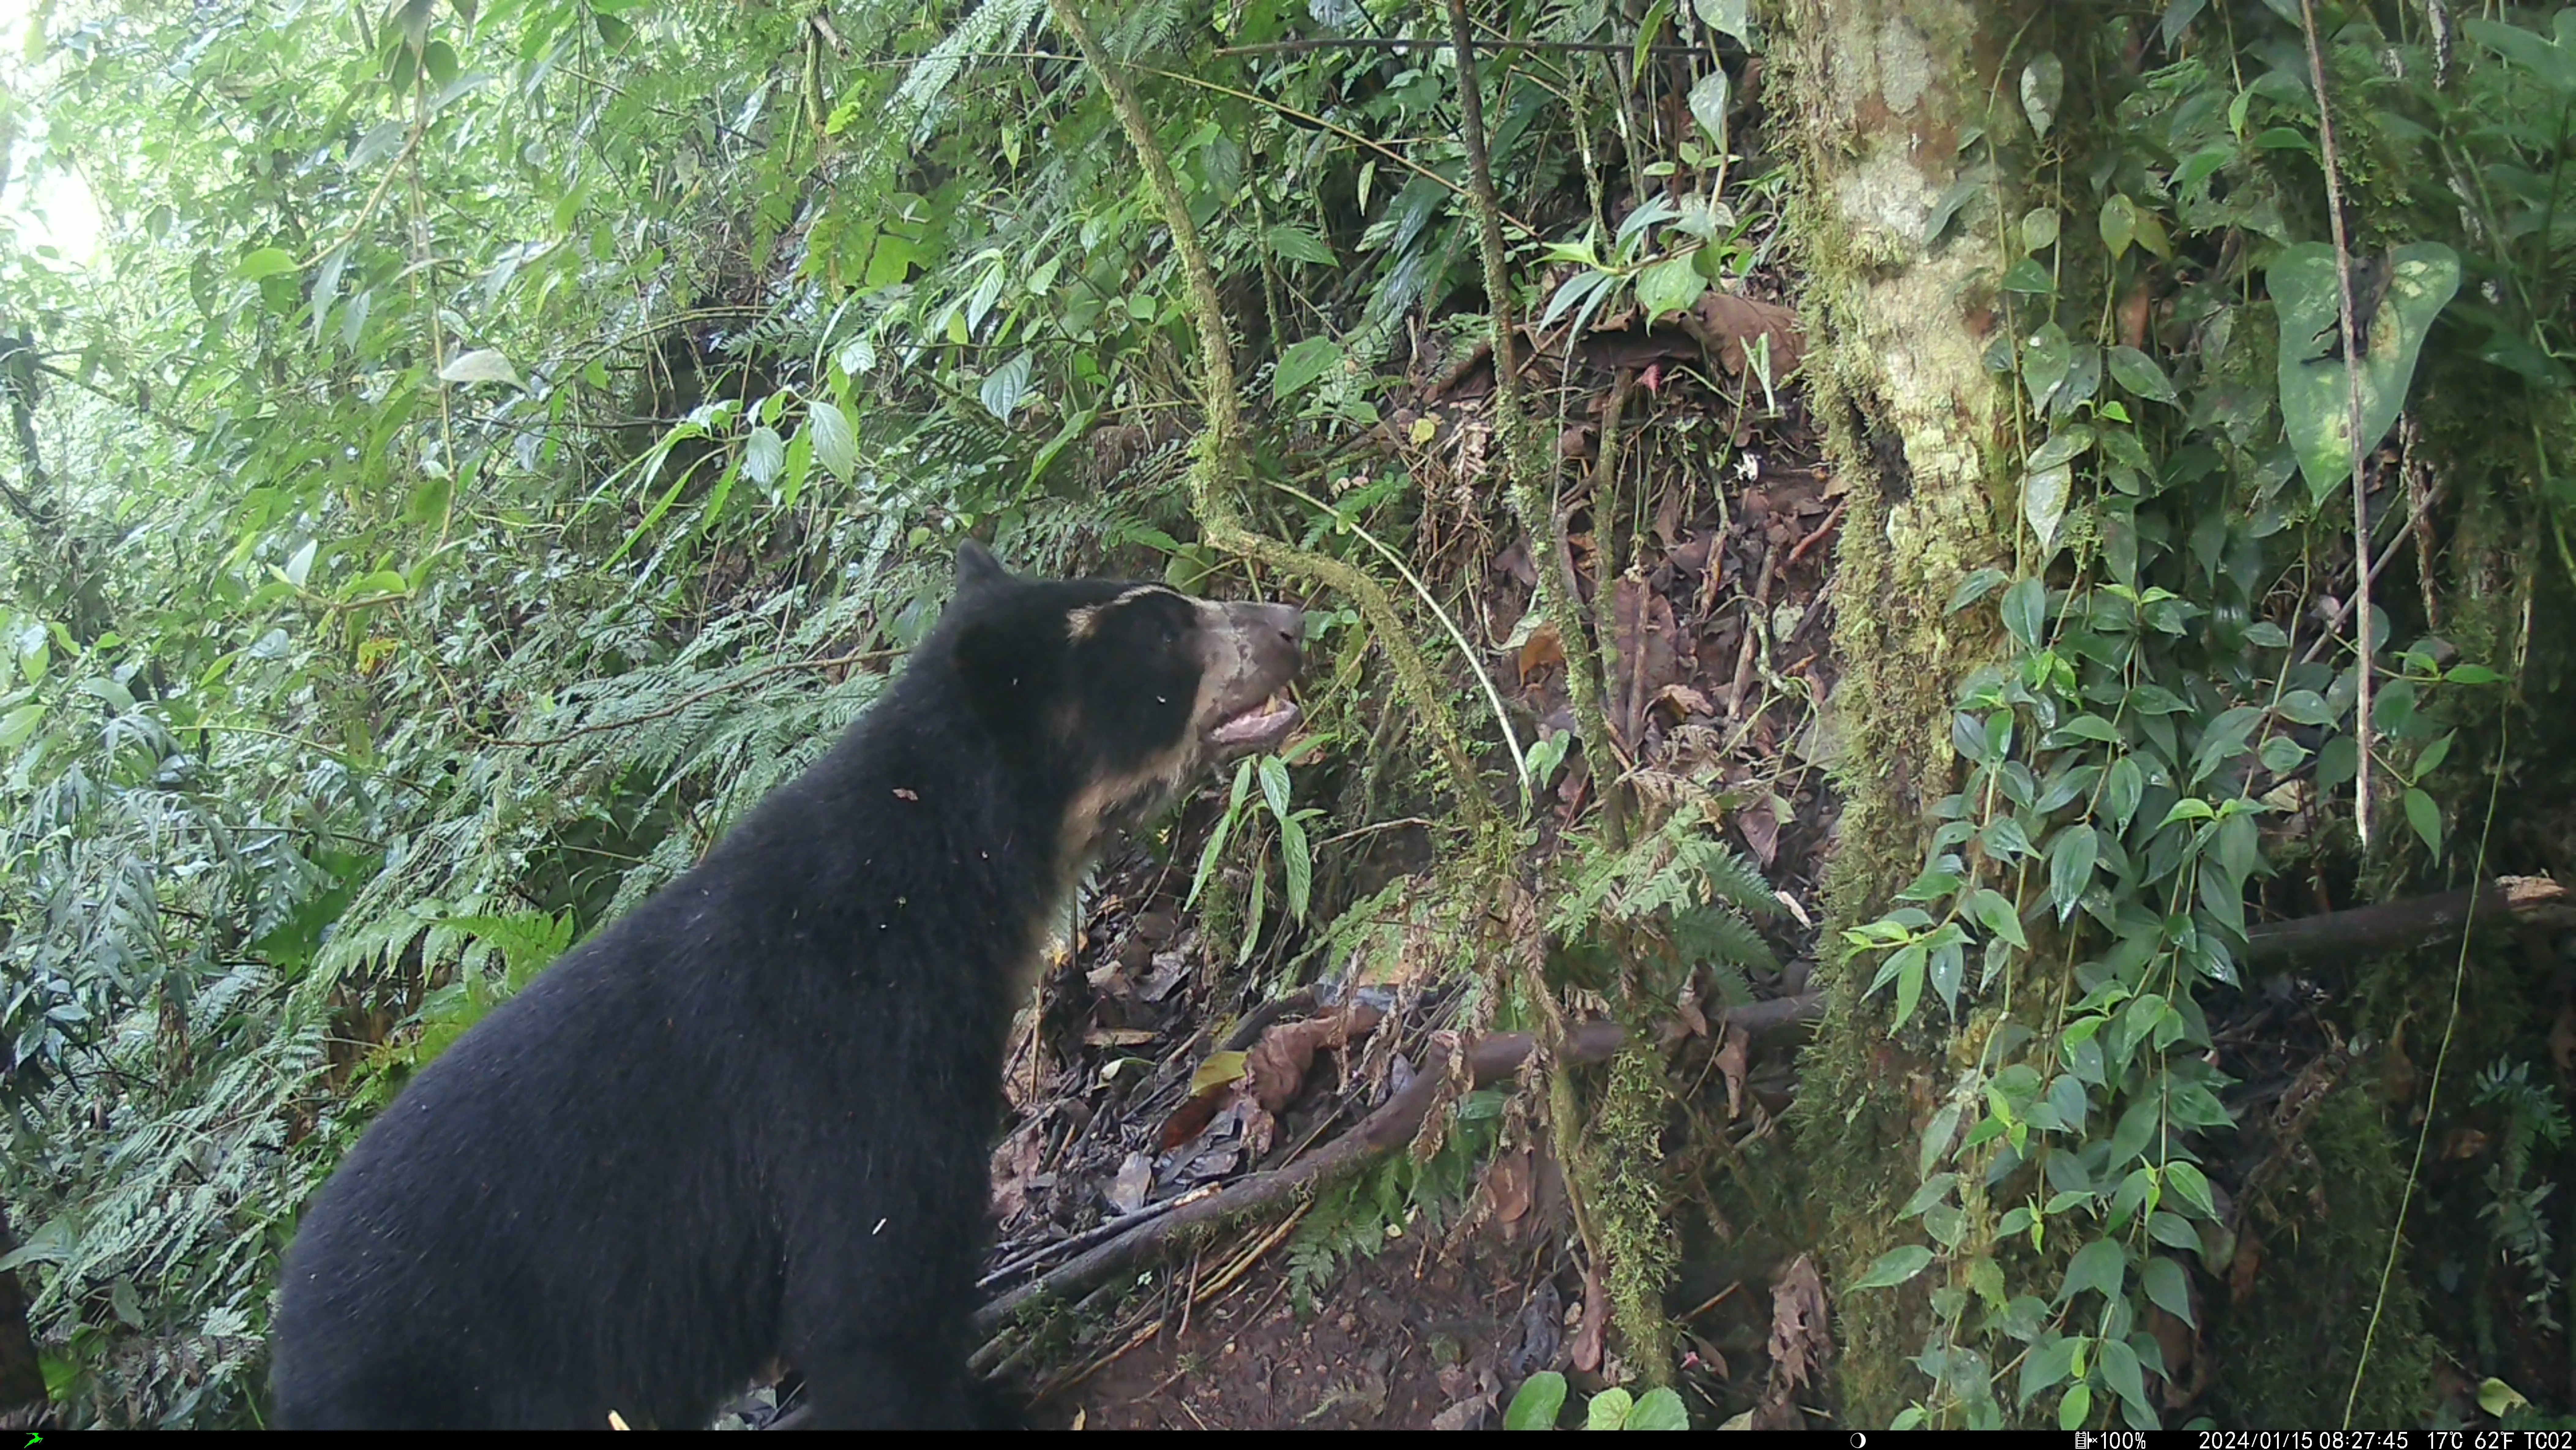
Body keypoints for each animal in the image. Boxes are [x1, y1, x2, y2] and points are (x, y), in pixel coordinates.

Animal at [269, 540, 1303, 1429]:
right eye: (1165, 628)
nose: (1291, 620)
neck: (928, 889)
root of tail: (288, 1358)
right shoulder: (838, 1066)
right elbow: (868, 1299)